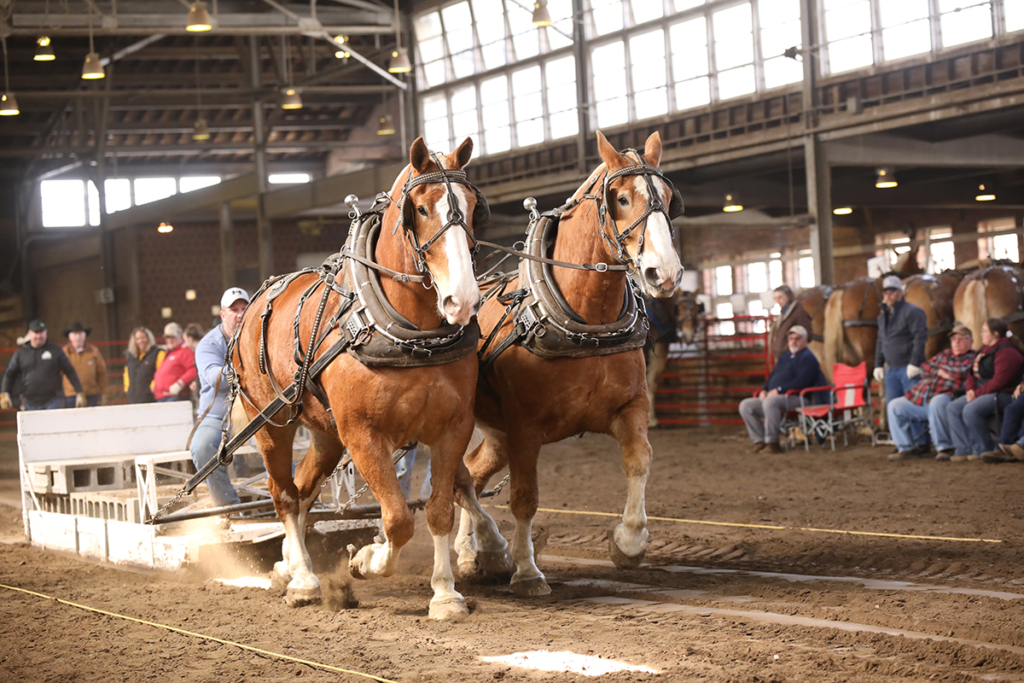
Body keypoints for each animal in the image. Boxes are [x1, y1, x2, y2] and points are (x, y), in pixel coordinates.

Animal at [233, 136, 503, 622]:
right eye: (420, 208)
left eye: (473, 207)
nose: (463, 300)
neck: (408, 333)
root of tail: (255, 303)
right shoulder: (362, 434)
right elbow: (397, 518)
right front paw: (365, 559)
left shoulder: (452, 429)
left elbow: (438, 510)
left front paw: (445, 594)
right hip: (271, 423)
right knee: (283, 495)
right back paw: (304, 581)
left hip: (325, 432)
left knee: (304, 490)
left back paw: (289, 565)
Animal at [454, 131, 679, 593]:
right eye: (621, 198)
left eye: (668, 197)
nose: (663, 273)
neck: (585, 321)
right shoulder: (524, 430)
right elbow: (525, 499)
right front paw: (526, 570)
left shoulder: (631, 407)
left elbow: (639, 460)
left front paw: (629, 543)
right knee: (454, 477)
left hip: (496, 433)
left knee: (472, 473)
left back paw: (469, 553)